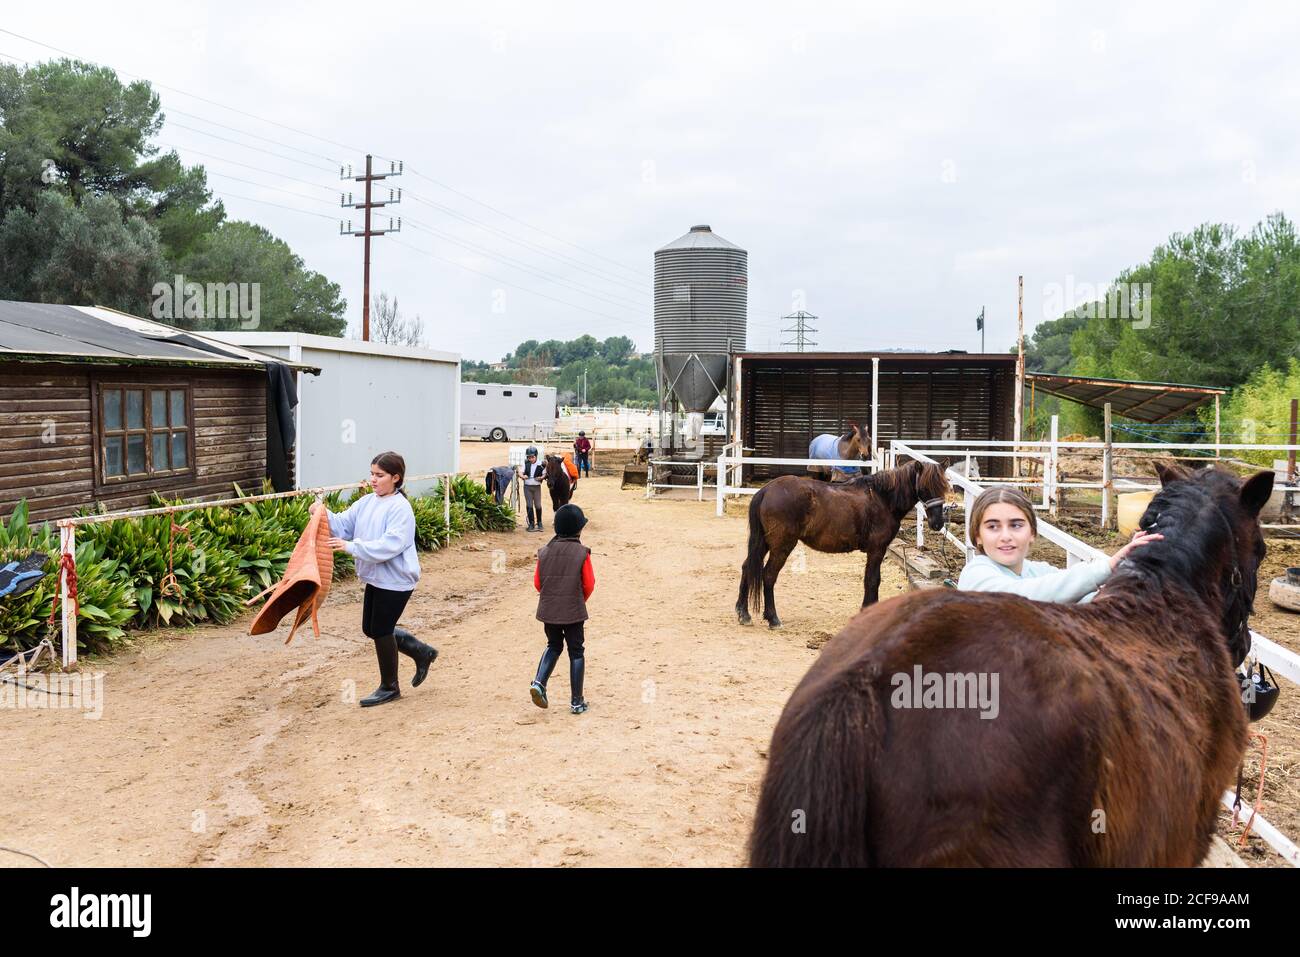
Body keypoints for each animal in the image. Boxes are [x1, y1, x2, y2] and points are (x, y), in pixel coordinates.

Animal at [738, 457, 951, 629]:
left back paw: (743, 613)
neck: (883, 498)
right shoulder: (877, 549)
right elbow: (872, 580)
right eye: (924, 487)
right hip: (782, 546)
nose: (937, 523)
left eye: (943, 487)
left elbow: (872, 580)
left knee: (747, 567)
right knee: (768, 575)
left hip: (764, 543)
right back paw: (773, 619)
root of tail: (766, 490)